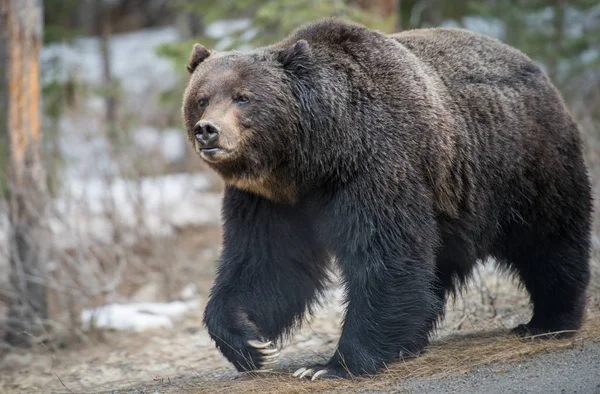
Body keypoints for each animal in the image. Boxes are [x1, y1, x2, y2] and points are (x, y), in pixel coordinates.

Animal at [180, 17, 592, 378]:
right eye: (202, 98)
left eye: (243, 97)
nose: (208, 130)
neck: (312, 160)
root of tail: (538, 69)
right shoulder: (268, 200)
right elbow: (266, 264)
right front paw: (251, 342)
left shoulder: (375, 167)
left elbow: (385, 256)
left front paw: (332, 365)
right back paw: (412, 341)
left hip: (522, 166)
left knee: (549, 241)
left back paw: (549, 320)